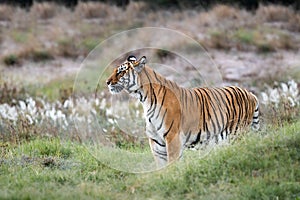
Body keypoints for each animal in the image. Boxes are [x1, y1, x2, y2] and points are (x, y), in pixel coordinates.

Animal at [106, 55, 258, 166]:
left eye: (120, 71)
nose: (107, 82)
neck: (144, 98)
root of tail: (250, 93)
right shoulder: (156, 141)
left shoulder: (172, 136)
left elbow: (172, 163)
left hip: (237, 134)